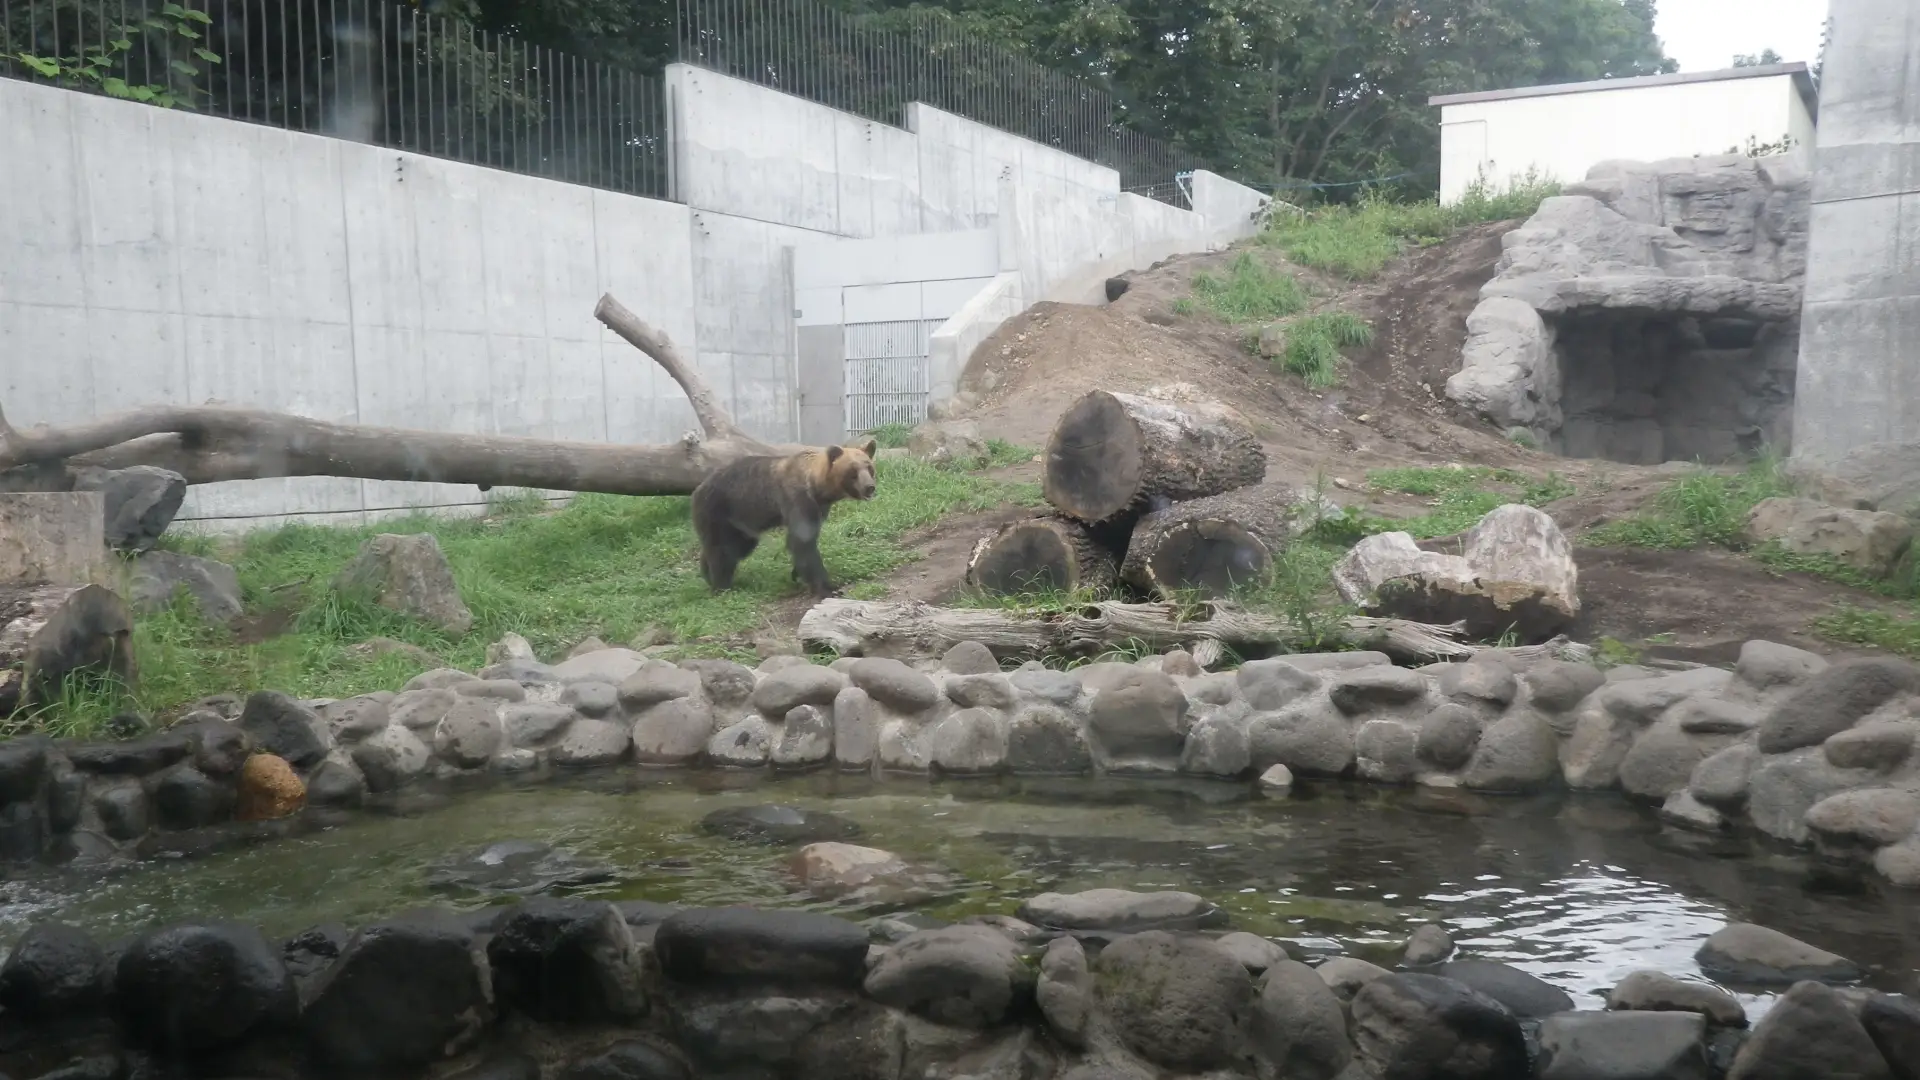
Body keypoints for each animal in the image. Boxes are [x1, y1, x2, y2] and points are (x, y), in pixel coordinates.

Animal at [691, 434, 879, 591]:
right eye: (853, 471)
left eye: (869, 467)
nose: (869, 487)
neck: (818, 488)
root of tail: (697, 490)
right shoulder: (798, 498)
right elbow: (802, 540)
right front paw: (827, 585)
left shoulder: (819, 508)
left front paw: (797, 574)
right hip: (717, 510)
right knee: (722, 549)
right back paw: (721, 584)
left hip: (741, 522)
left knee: (737, 546)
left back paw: (707, 573)